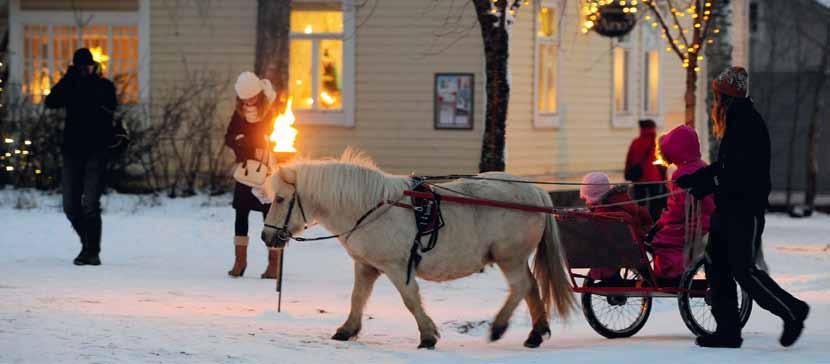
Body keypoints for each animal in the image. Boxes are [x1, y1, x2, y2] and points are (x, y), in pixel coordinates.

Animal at [264, 152, 576, 348]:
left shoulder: (397, 266)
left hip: (509, 257)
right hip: (516, 258)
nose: (267, 236)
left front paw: (427, 336)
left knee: (520, 286)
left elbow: (410, 300)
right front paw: (347, 330)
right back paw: (535, 334)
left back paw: (499, 327)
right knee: (531, 287)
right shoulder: (366, 265)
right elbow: (357, 298)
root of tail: (536, 192)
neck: (371, 207)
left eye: (280, 198)